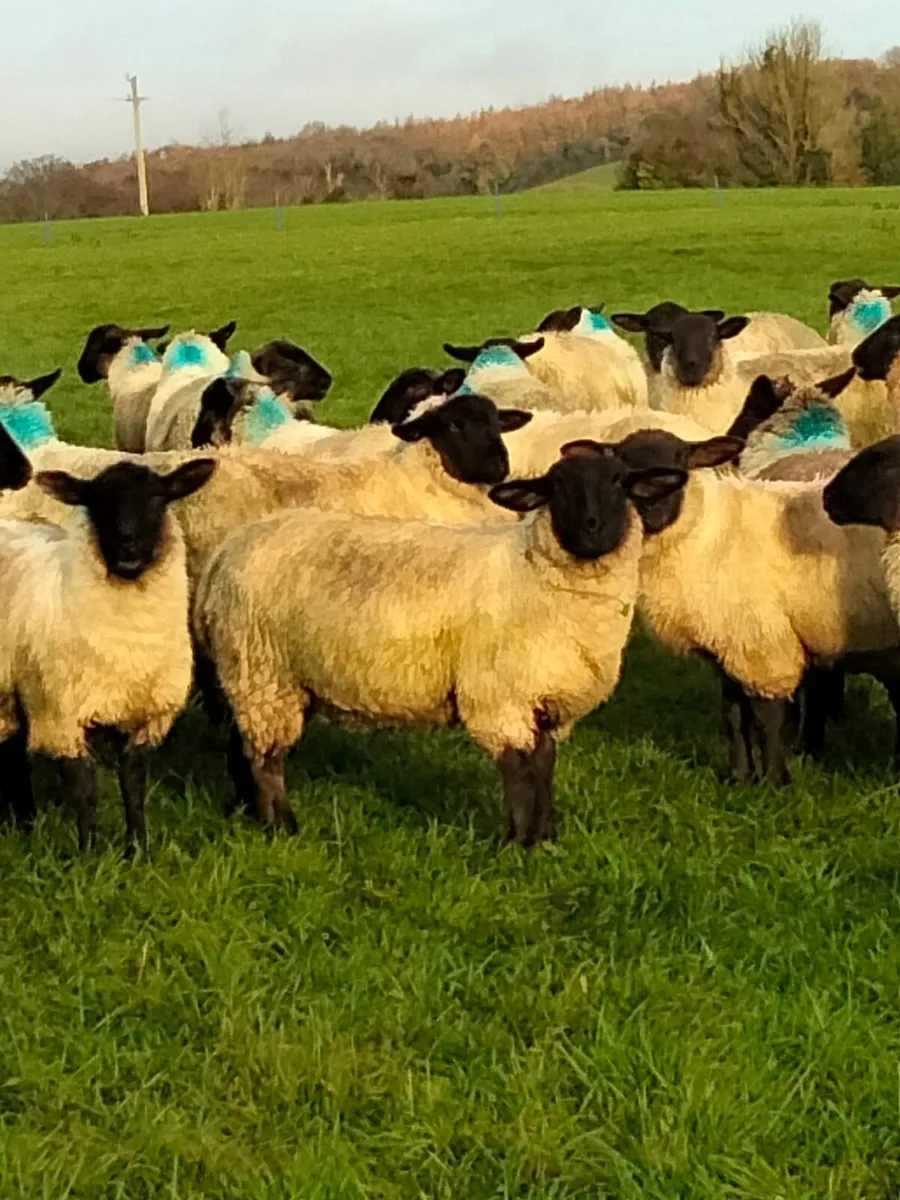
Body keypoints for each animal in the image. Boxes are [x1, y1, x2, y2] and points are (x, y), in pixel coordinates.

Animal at [0, 458, 216, 851]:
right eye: (96, 501)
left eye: (158, 498)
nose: (127, 542)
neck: (130, 640)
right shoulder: (61, 712)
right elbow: (83, 787)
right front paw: (88, 853)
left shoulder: (141, 713)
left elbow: (133, 783)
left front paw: (138, 851)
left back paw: (23, 821)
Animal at [193, 445, 687, 842]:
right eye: (557, 486)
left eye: (620, 482)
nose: (592, 529)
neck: (536, 576)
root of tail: (226, 551)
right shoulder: (498, 698)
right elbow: (519, 769)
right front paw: (517, 842)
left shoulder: (549, 703)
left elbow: (544, 766)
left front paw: (546, 836)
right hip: (262, 671)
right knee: (266, 758)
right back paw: (281, 826)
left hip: (261, 678)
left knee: (241, 745)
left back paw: (247, 812)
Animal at [606, 427, 899, 785]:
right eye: (624, 469)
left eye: (680, 461)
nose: (652, 509)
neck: (707, 535)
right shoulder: (730, 645)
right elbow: (733, 716)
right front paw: (738, 778)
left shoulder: (763, 645)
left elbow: (766, 719)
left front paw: (774, 781)